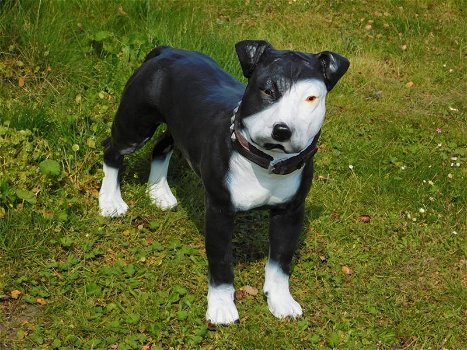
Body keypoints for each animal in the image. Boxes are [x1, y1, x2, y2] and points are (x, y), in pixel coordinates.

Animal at [99, 41, 348, 326]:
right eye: (267, 90)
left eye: (311, 98)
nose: (282, 130)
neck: (266, 162)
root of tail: (167, 50)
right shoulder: (219, 211)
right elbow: (220, 263)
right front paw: (221, 307)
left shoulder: (290, 212)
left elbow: (280, 261)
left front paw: (281, 301)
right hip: (136, 124)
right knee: (113, 149)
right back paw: (110, 201)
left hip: (179, 127)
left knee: (162, 146)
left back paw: (159, 192)